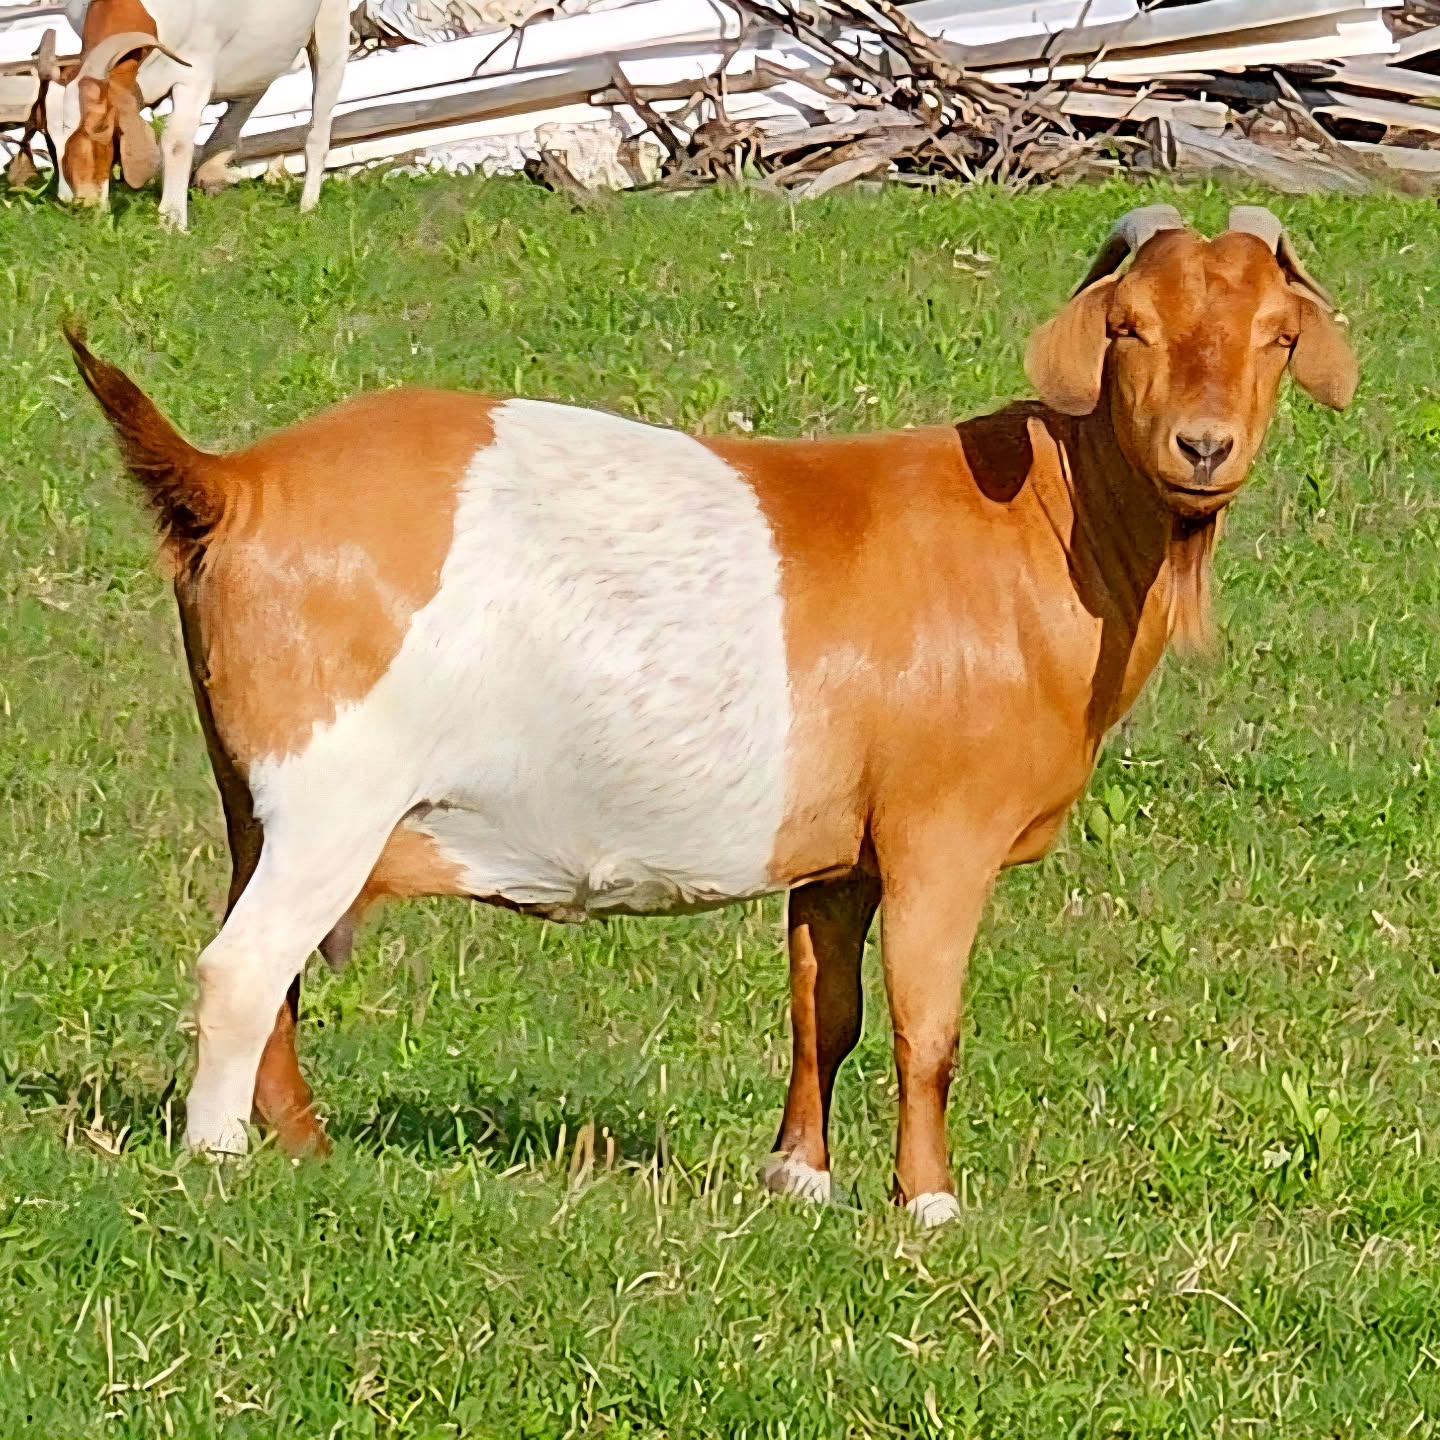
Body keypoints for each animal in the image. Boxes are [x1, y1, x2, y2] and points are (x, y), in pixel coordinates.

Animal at [39, 0, 349, 230]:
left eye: (102, 125)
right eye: (48, 136)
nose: (80, 203)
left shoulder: (193, 75)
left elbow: (175, 143)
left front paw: (172, 219)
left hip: (331, 28)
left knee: (318, 129)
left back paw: (307, 206)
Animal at [67, 205, 1357, 1223]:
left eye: (1278, 337)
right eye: (1128, 328)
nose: (1204, 446)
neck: (1047, 524)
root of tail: (236, 484)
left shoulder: (842, 852)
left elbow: (825, 1010)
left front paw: (802, 1179)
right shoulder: (941, 834)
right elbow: (925, 1024)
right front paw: (932, 1205)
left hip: (258, 799)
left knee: (272, 965)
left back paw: (307, 1149)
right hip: (335, 789)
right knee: (242, 968)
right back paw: (221, 1159)